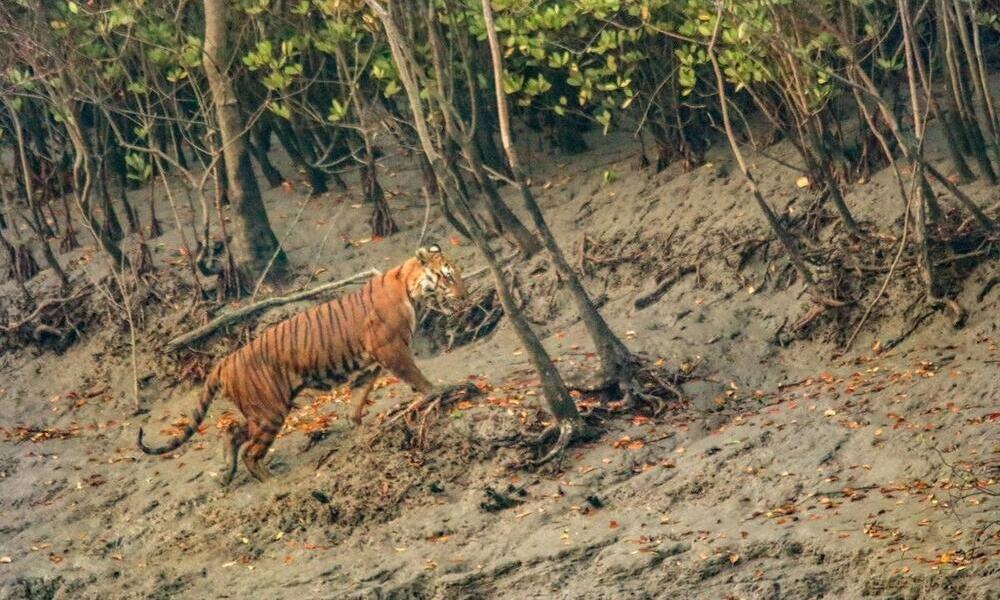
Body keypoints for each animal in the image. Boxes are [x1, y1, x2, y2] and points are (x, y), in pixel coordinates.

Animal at [137, 244, 468, 482]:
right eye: (448, 276)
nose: (464, 297)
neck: (411, 288)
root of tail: (224, 362)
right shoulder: (391, 350)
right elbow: (417, 377)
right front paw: (437, 391)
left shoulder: (370, 365)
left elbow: (358, 398)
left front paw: (358, 427)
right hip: (269, 410)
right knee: (251, 452)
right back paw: (270, 481)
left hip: (260, 410)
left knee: (232, 431)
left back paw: (226, 474)